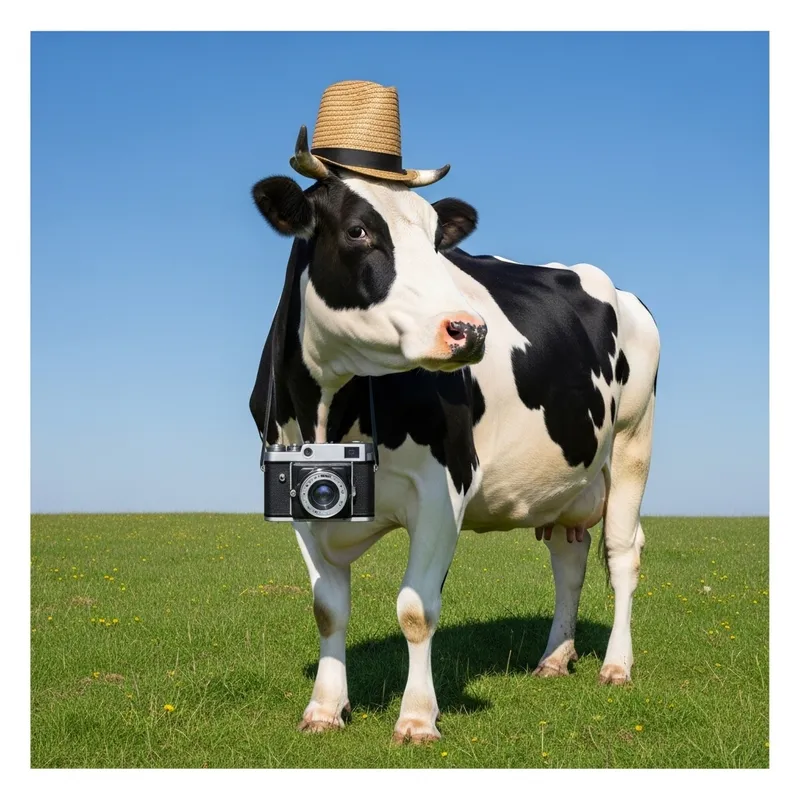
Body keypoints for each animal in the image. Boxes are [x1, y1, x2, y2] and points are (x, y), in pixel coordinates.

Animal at [249, 138, 660, 744]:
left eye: (435, 237)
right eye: (357, 230)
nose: (471, 330)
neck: (329, 412)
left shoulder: (444, 487)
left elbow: (416, 608)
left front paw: (418, 718)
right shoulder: (293, 495)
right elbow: (328, 609)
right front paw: (324, 709)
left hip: (633, 443)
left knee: (623, 553)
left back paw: (616, 666)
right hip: (566, 478)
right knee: (569, 557)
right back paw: (554, 658)